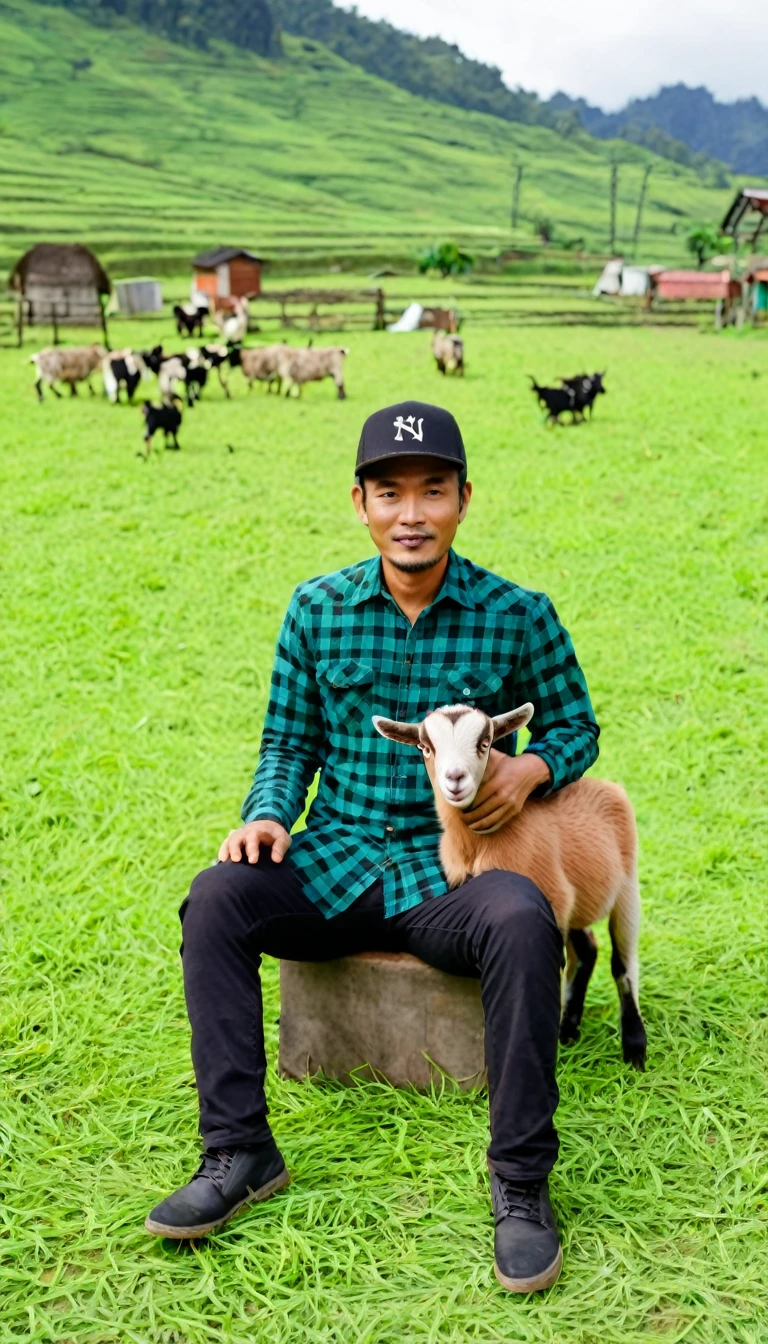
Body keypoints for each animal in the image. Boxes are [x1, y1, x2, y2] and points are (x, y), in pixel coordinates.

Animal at [373, 704, 648, 1069]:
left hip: (627, 886)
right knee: (587, 949)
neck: (476, 844)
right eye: (426, 747)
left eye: (485, 743)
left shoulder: (552, 899)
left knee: (623, 961)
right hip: (576, 901)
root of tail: (606, 786)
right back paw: (569, 1029)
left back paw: (635, 1048)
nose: (455, 779)